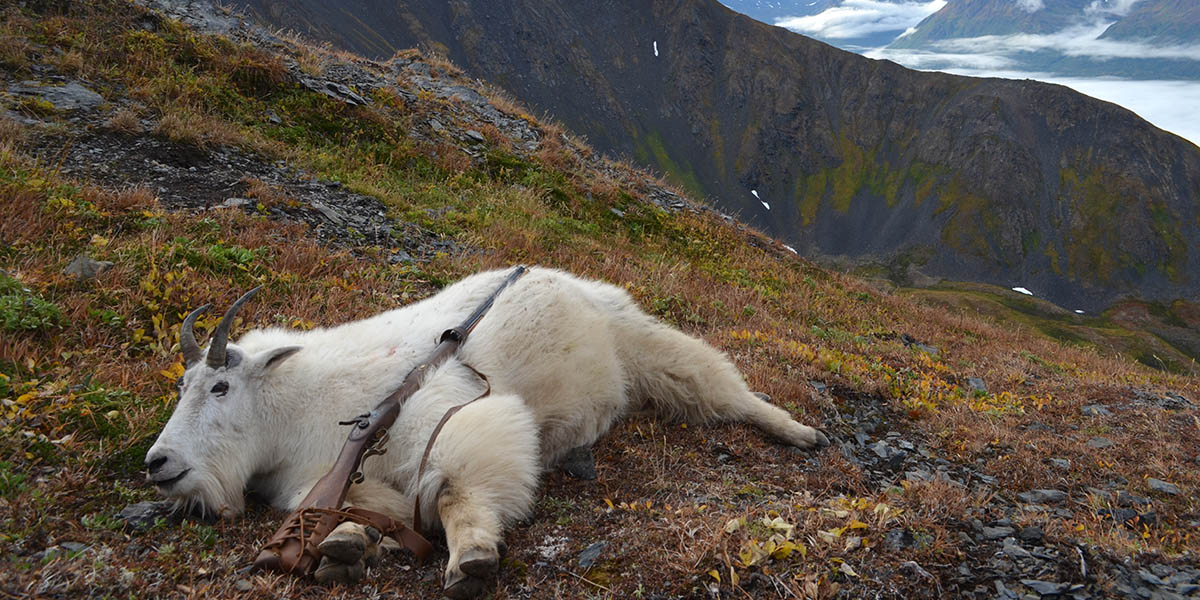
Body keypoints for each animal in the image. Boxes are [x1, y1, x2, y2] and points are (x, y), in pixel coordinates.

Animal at [145, 266, 830, 595]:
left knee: (714, 382)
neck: (299, 405)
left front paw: (470, 559)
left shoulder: (446, 414)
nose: (158, 464)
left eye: (219, 388)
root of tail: (579, 281)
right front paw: (345, 548)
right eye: (180, 389)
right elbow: (363, 508)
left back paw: (802, 433)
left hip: (642, 342)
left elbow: (455, 486)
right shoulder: (334, 477)